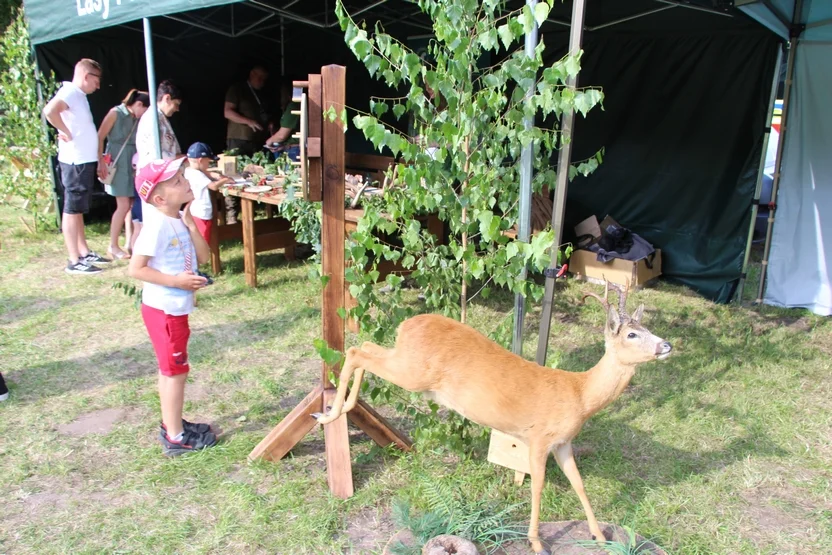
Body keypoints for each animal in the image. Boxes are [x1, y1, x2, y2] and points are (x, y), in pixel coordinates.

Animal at [312, 282, 668, 555]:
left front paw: (599, 534)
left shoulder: (563, 443)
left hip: (405, 362)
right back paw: (329, 415)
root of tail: (406, 325)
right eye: (632, 334)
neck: (580, 395)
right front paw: (537, 543)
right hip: (412, 373)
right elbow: (538, 485)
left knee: (365, 346)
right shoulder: (539, 438)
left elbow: (578, 483)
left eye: (648, 329)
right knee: (357, 352)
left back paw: (339, 409)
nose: (666, 345)